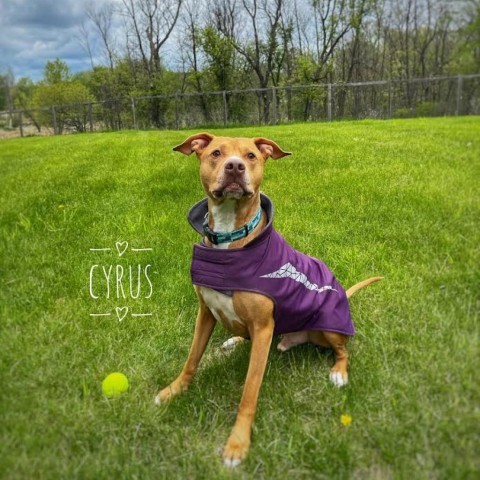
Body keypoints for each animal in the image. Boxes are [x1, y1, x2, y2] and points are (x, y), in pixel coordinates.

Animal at [156, 133, 380, 466]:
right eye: (216, 153)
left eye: (251, 156)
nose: (235, 167)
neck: (230, 239)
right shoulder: (205, 312)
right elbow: (192, 359)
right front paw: (173, 391)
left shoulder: (263, 328)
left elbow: (249, 392)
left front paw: (237, 444)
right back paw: (236, 340)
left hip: (328, 327)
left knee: (343, 350)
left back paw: (339, 373)